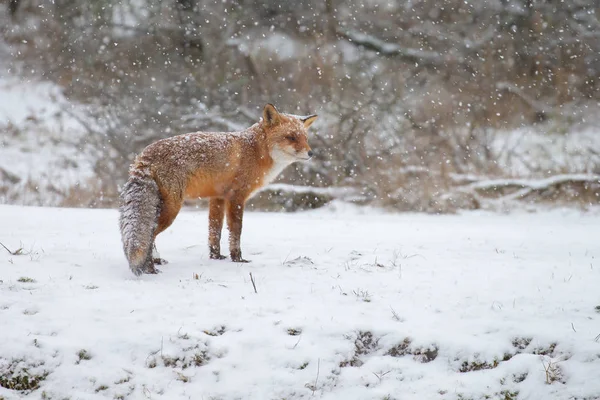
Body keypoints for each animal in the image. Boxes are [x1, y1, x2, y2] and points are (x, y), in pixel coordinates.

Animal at [116, 104, 314, 276]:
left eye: (305, 138)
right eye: (291, 137)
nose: (311, 153)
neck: (256, 151)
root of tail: (143, 155)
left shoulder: (217, 197)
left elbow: (214, 232)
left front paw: (216, 257)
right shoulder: (237, 197)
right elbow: (235, 232)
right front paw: (238, 259)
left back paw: (156, 261)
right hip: (172, 208)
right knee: (149, 236)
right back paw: (150, 268)